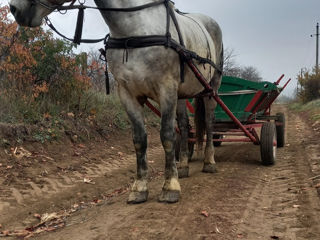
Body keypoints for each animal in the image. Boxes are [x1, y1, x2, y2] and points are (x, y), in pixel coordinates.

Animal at [9, 0, 222, 203]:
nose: (14, 8)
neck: (135, 30)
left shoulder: (166, 89)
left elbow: (167, 136)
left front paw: (170, 187)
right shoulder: (127, 94)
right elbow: (139, 140)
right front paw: (139, 188)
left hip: (211, 88)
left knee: (209, 122)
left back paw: (209, 162)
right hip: (181, 94)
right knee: (185, 126)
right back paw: (184, 166)